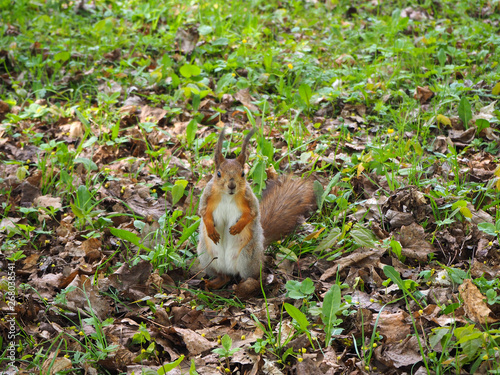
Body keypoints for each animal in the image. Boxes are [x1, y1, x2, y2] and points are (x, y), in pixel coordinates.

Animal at [196, 128, 316, 290]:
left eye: (243, 174)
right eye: (218, 174)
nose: (232, 186)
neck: (227, 196)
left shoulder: (249, 199)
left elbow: (252, 213)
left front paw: (238, 227)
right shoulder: (207, 196)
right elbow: (203, 212)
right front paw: (210, 229)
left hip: (247, 257)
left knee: (248, 277)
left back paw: (244, 285)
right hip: (206, 257)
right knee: (224, 276)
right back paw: (215, 282)